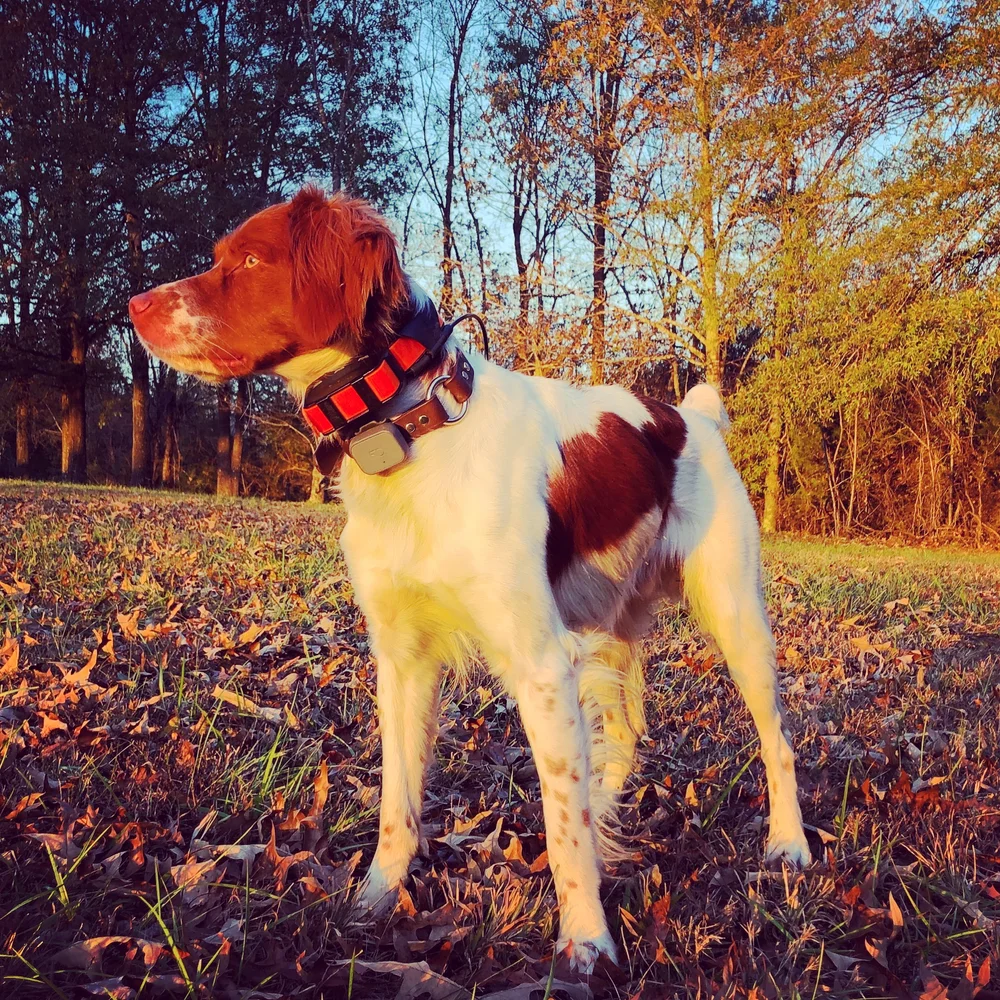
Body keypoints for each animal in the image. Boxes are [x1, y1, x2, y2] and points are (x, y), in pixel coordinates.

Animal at [127, 186, 812, 968]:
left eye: (247, 260)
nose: (134, 305)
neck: (413, 433)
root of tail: (692, 417)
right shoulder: (401, 660)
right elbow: (399, 800)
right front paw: (375, 898)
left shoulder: (541, 662)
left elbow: (561, 824)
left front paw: (586, 940)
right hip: (608, 621)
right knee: (621, 733)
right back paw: (612, 810)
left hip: (735, 616)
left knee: (775, 742)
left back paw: (788, 845)